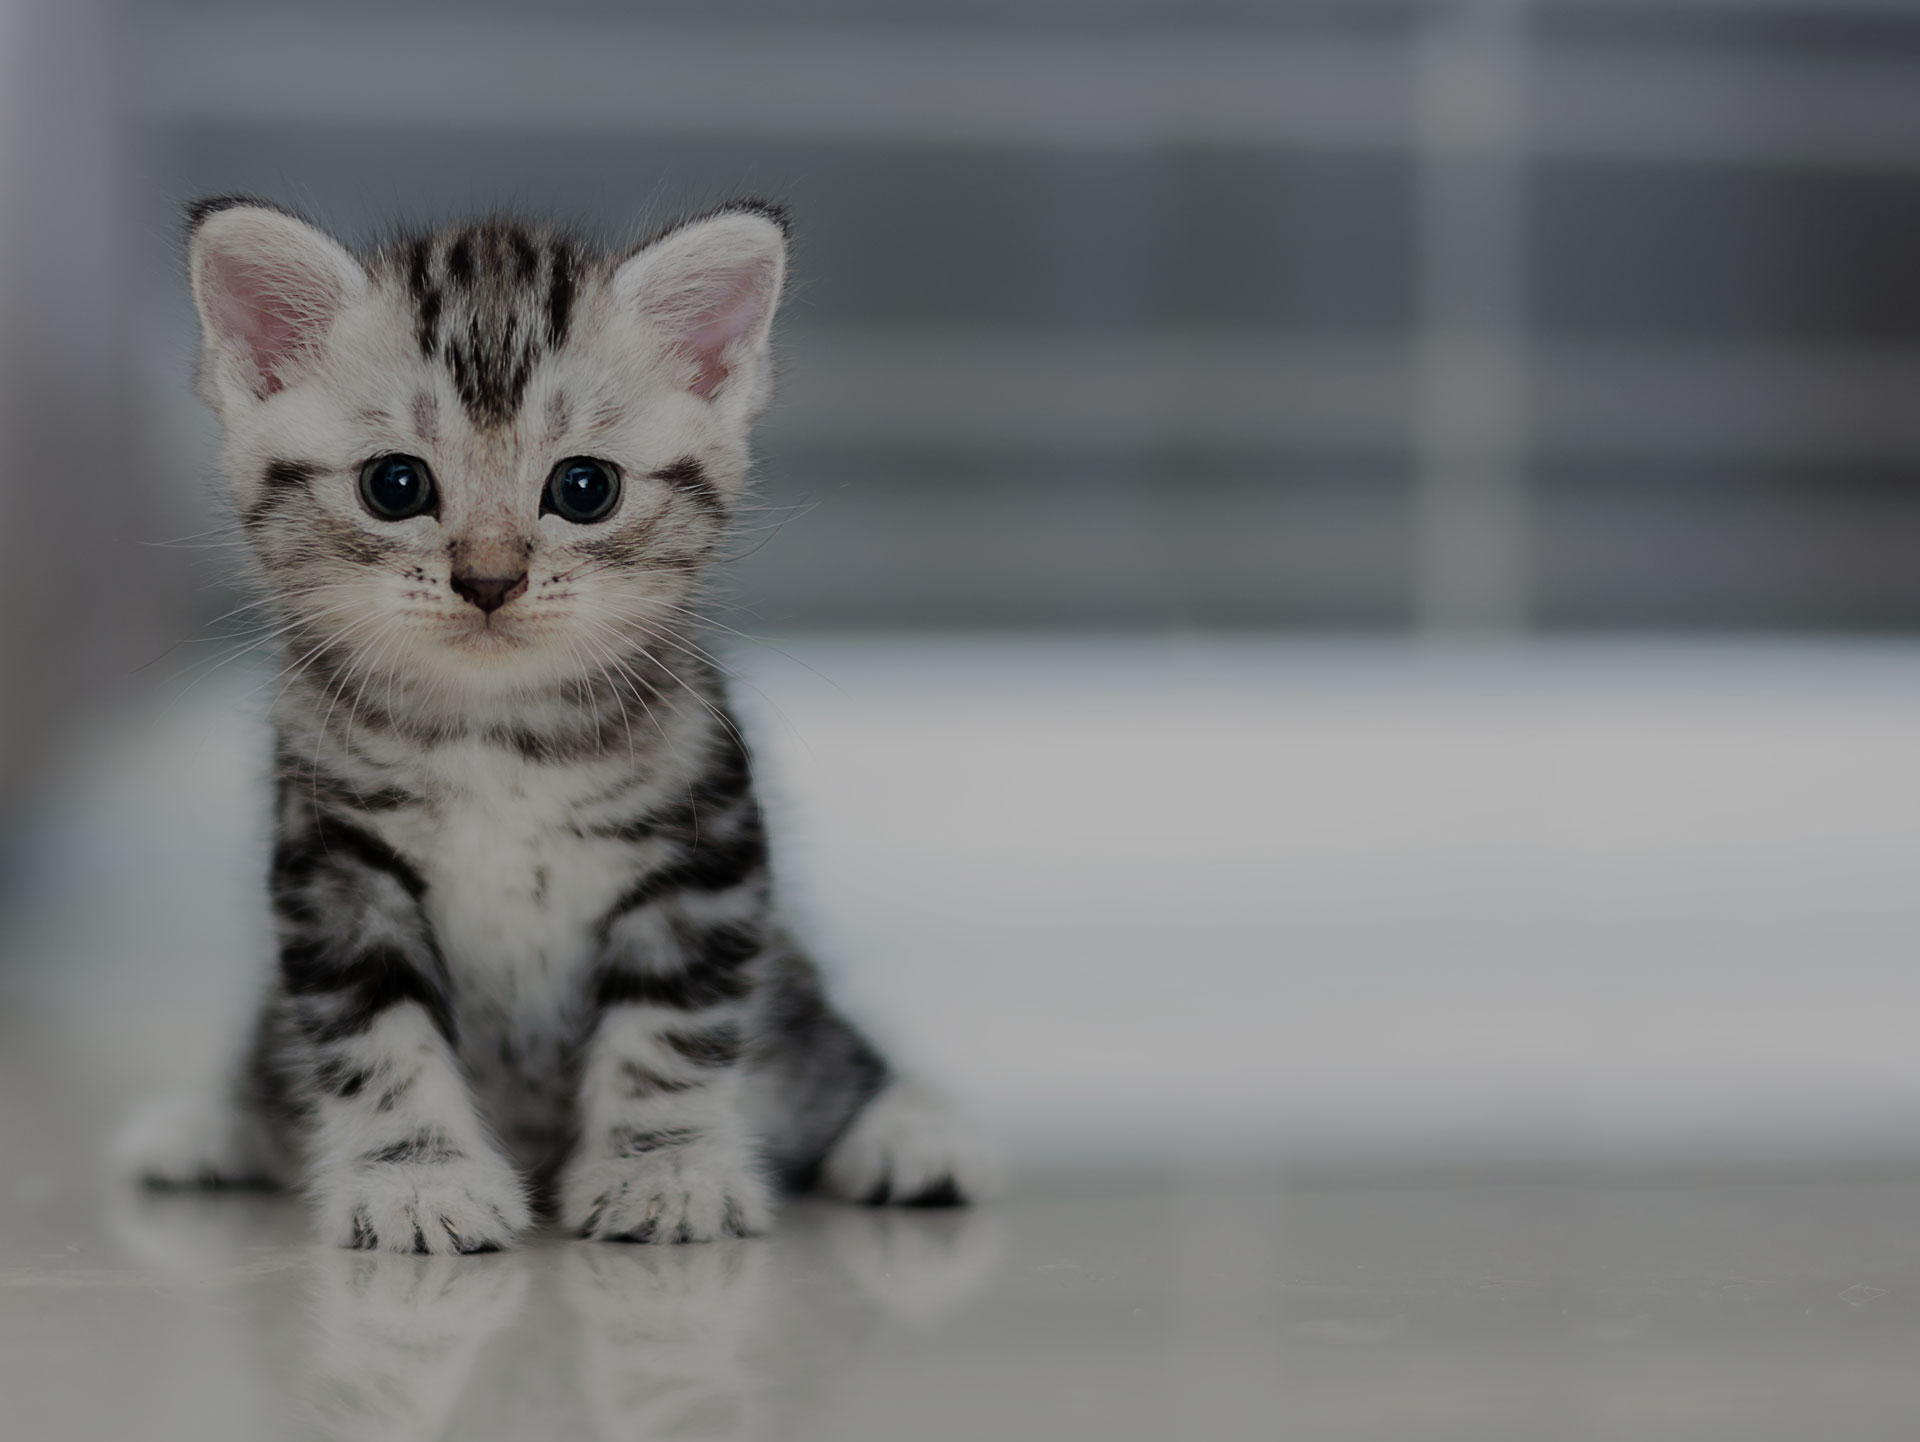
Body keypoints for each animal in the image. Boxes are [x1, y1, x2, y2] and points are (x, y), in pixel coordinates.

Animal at [116, 200, 1006, 1251]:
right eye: (395, 486)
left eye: (585, 488)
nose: (490, 580)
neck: (498, 735)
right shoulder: (333, 863)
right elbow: (378, 1042)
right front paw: (420, 1181)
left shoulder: (702, 853)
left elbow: (668, 1037)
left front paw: (662, 1173)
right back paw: (206, 1129)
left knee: (827, 1057)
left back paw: (912, 1137)